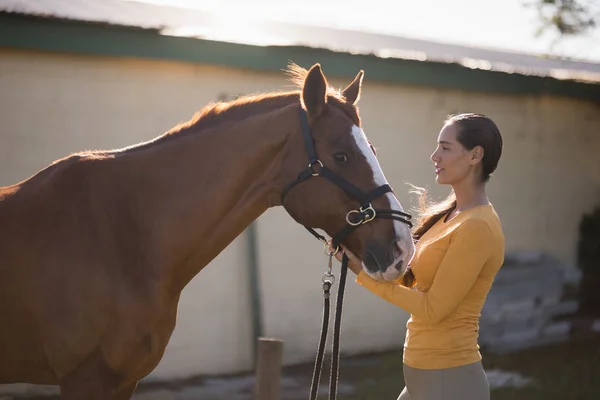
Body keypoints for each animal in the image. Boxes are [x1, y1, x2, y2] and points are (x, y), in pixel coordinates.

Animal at [0, 62, 414, 396]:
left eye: (372, 150)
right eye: (341, 156)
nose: (402, 248)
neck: (121, 234)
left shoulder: (124, 381)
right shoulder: (86, 379)